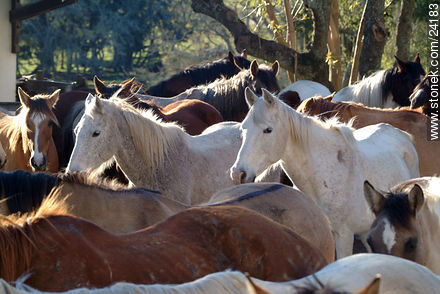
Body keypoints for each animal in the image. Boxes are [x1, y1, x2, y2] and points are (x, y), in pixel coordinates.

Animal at [230, 88, 420, 258]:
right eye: (243, 128)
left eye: (268, 130)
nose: (237, 173)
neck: (323, 177)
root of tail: (402, 135)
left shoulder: (344, 236)